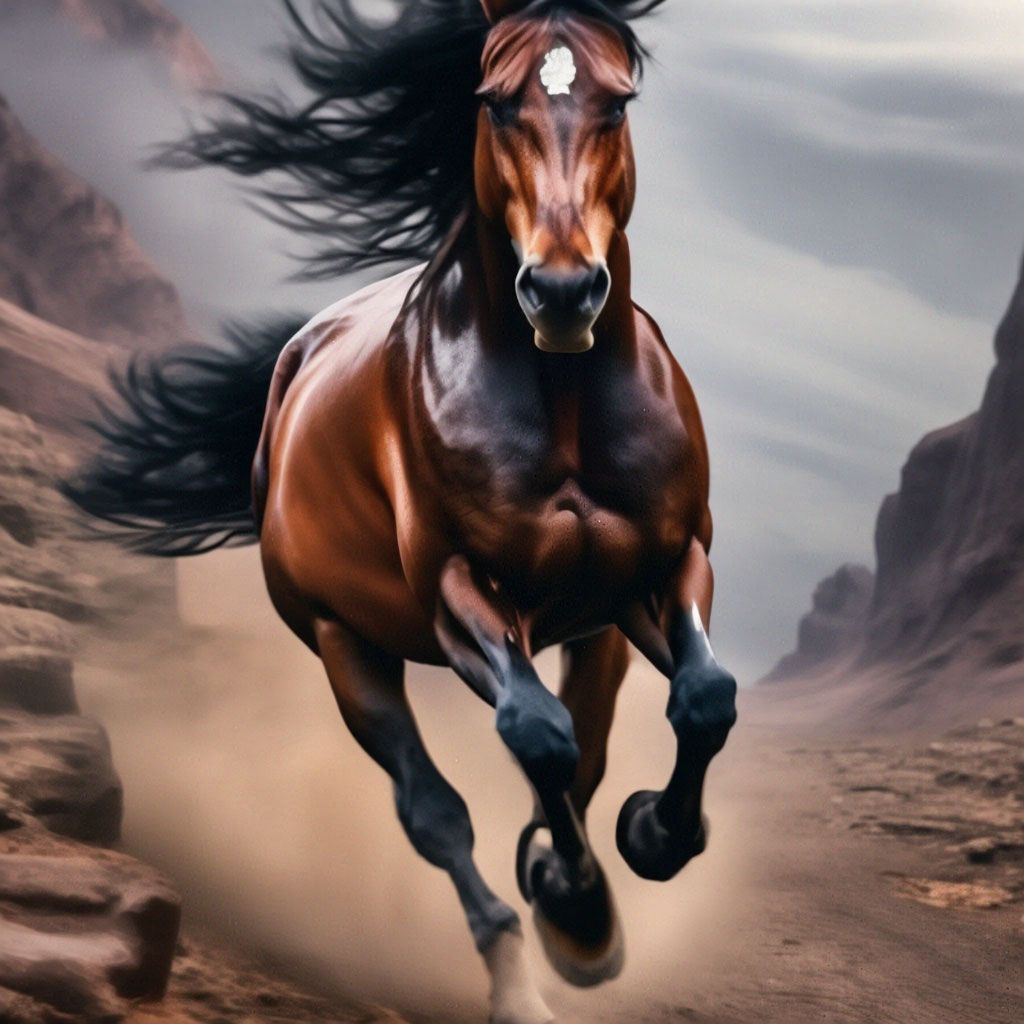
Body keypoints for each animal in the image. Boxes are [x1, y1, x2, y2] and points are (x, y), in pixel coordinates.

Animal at [65, 2, 738, 1021]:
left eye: (618, 103)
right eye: (496, 102)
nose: (562, 293)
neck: (565, 404)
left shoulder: (666, 568)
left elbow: (701, 702)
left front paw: (648, 838)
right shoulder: (459, 592)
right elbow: (536, 737)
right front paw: (578, 913)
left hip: (596, 628)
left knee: (582, 748)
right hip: (348, 646)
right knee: (438, 811)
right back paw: (521, 969)